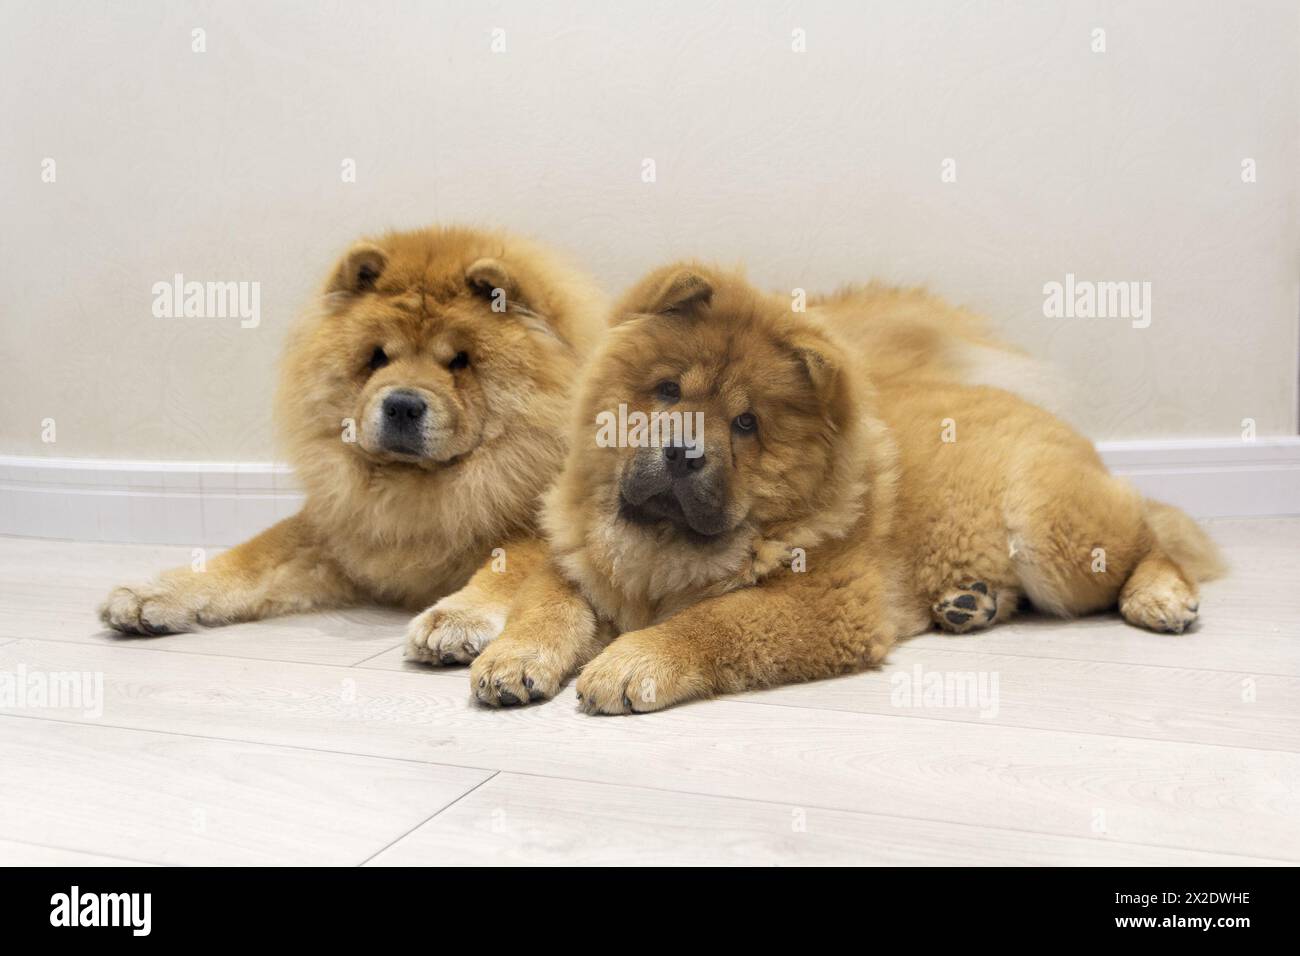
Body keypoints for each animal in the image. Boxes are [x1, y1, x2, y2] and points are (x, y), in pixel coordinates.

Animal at [98, 223, 605, 650]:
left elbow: (508, 566)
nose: (402, 404)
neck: (420, 494)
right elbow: (247, 558)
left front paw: (455, 619)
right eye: (378, 357)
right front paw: (152, 593)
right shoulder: (336, 533)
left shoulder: (538, 532)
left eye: (459, 361)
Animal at [467, 265, 1216, 712]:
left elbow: (708, 623)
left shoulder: (825, 602)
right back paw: (969, 603)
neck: (662, 550)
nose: (683, 452)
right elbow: (545, 607)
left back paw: (1159, 597)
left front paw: (629, 664)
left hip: (1050, 534)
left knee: (1151, 537)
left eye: (746, 423)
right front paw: (513, 659)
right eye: (668, 391)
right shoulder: (579, 566)